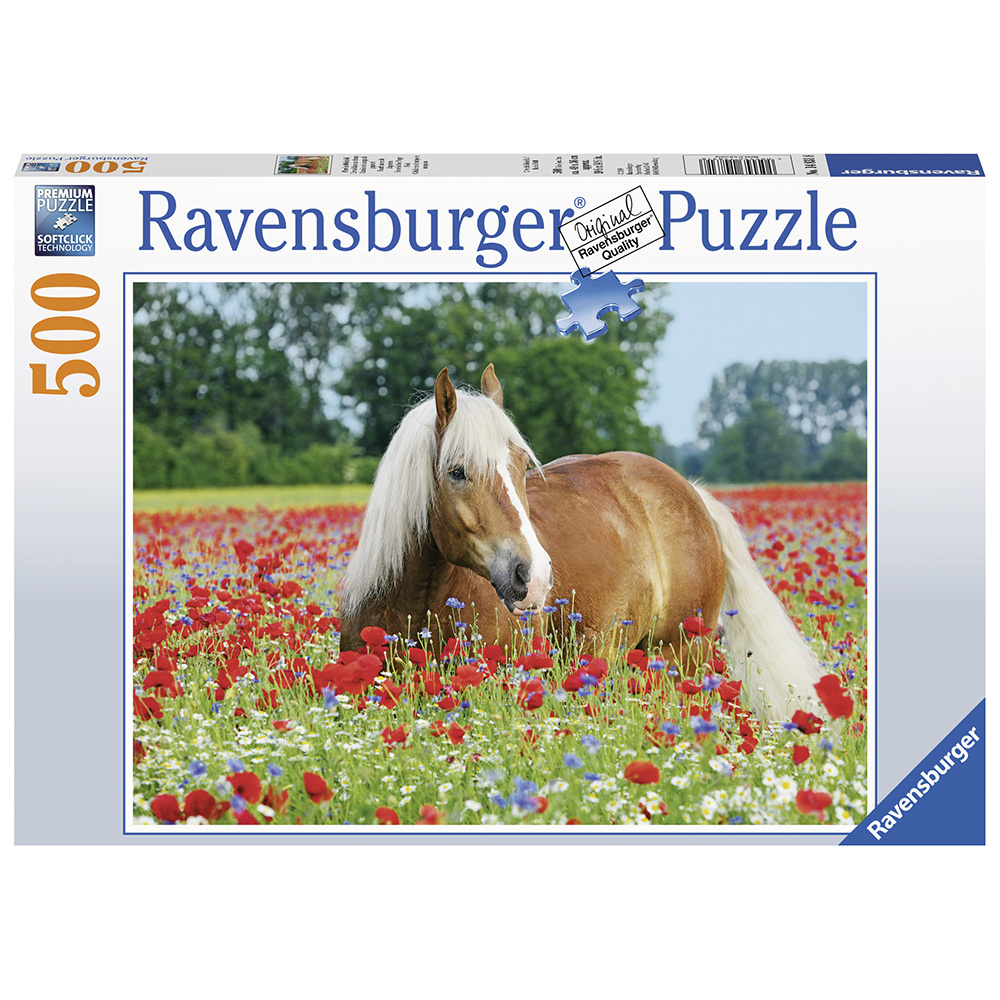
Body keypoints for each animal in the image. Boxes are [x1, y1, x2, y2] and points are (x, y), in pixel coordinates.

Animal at [339, 364, 824, 721]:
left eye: (521, 465)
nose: (532, 576)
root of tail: (689, 491)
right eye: (456, 471)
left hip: (681, 656)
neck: (415, 602)